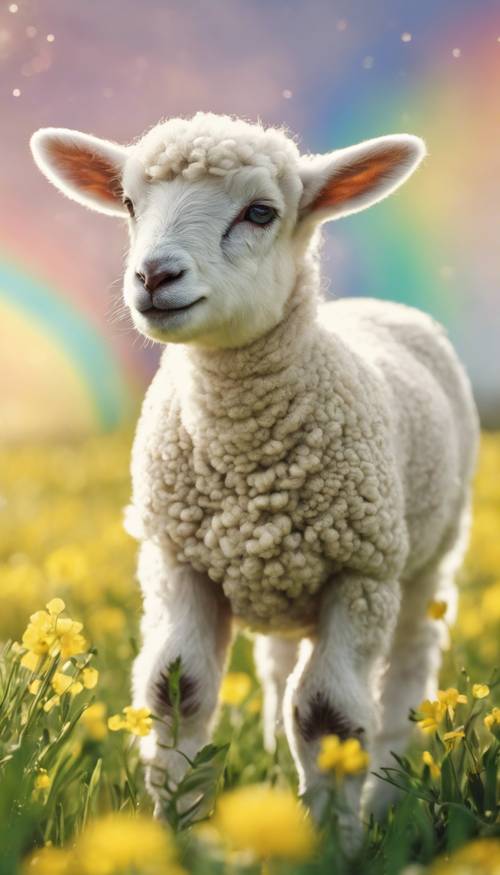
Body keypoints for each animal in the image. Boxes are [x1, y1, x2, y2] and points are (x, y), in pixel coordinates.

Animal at [30, 113, 476, 840]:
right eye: (129, 204)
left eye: (260, 212)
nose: (153, 275)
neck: (247, 472)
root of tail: (380, 306)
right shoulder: (179, 562)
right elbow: (177, 692)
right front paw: (178, 831)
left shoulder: (358, 574)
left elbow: (329, 714)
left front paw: (334, 839)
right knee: (277, 666)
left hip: (424, 558)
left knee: (407, 668)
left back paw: (386, 791)